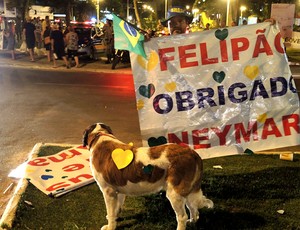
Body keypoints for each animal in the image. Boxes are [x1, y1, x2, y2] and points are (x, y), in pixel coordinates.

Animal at [82, 123, 213, 229]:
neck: (100, 135)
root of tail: (192, 152)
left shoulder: (108, 191)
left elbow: (110, 211)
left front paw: (110, 226)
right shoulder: (118, 189)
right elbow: (116, 208)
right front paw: (116, 217)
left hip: (175, 193)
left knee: (182, 216)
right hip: (187, 189)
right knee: (193, 207)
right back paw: (192, 221)